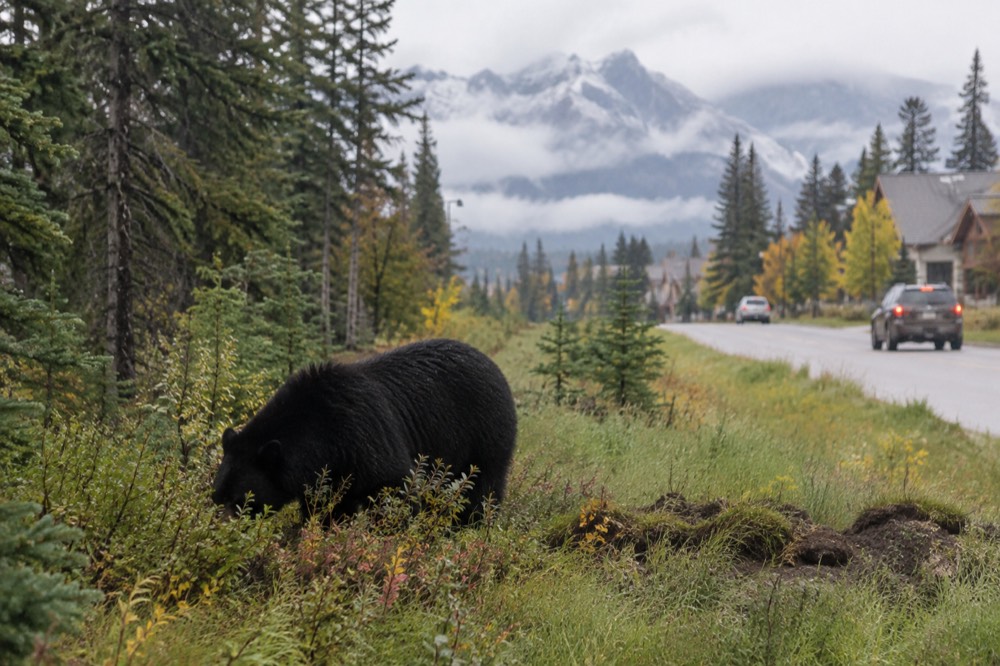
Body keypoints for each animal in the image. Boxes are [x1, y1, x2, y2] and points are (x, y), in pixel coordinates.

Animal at [211, 338, 517, 524]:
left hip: (485, 434)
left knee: (481, 489)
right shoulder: (329, 470)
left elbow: (395, 485)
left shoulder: (363, 435)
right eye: (216, 497)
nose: (219, 529)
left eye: (240, 501)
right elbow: (327, 508)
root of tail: (495, 367)